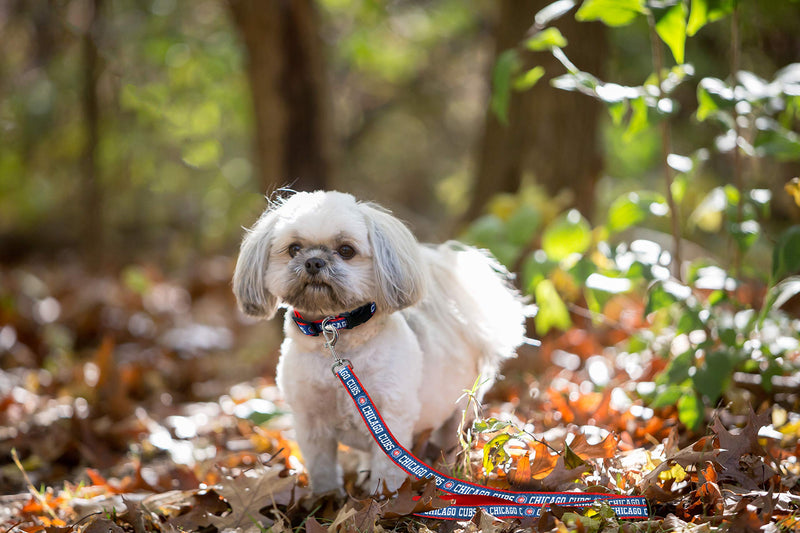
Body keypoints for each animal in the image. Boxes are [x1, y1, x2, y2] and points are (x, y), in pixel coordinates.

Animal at [231, 189, 528, 492]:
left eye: (346, 250)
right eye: (293, 249)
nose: (313, 262)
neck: (335, 333)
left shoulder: (391, 418)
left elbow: (387, 471)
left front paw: (383, 499)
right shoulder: (310, 423)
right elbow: (322, 470)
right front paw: (326, 497)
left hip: (458, 410)